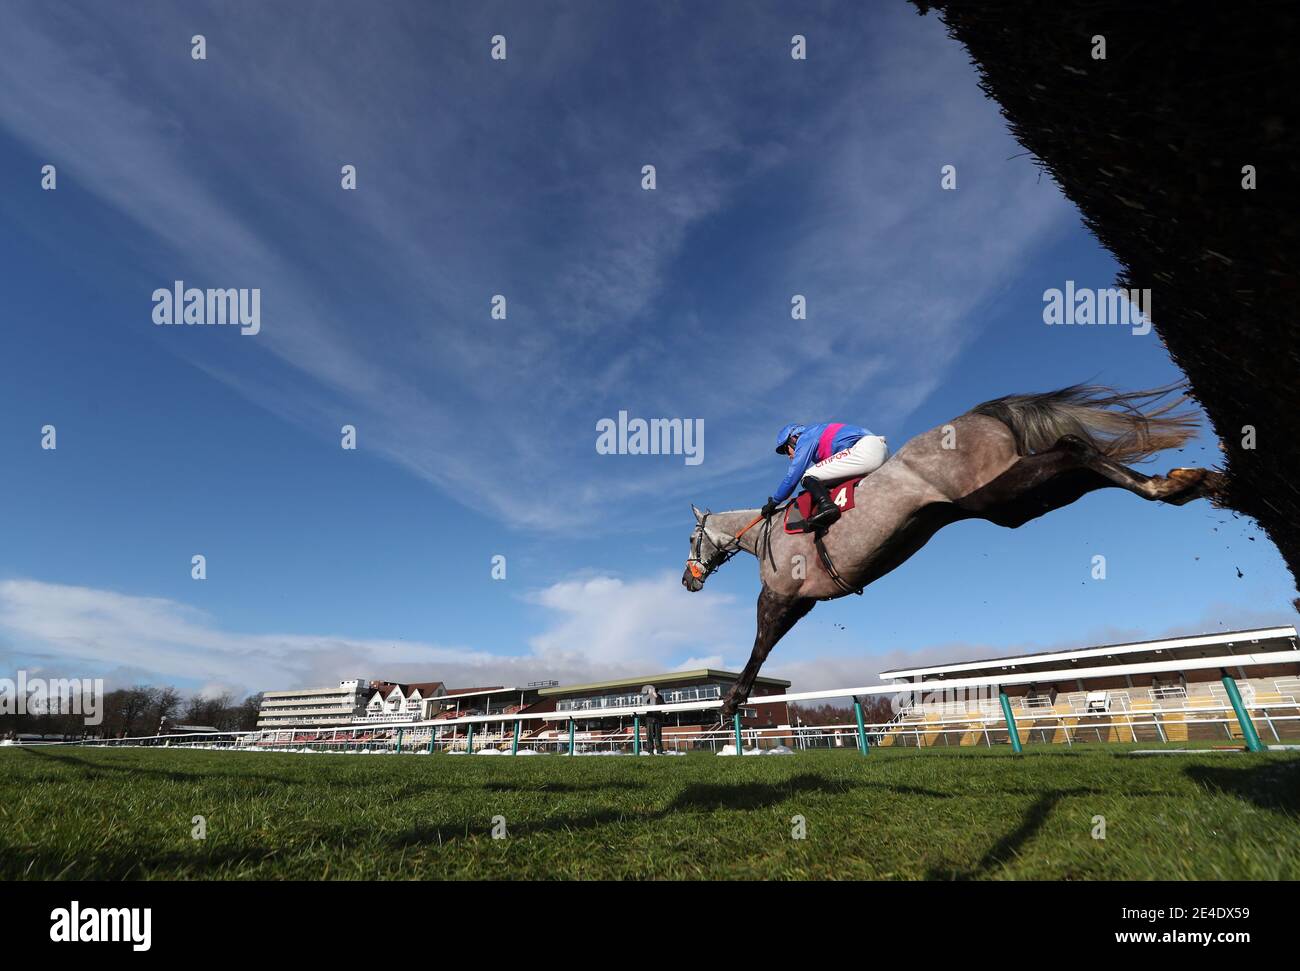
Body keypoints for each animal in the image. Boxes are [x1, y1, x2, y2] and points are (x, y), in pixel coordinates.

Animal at [681, 387, 1227, 722]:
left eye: (691, 540)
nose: (687, 582)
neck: (763, 534)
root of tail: (980, 414)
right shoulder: (805, 601)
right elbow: (765, 644)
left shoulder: (781, 595)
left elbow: (759, 645)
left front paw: (731, 703)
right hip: (1008, 504)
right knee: (1078, 455)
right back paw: (1181, 483)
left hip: (993, 497)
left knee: (1073, 447)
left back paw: (1168, 485)